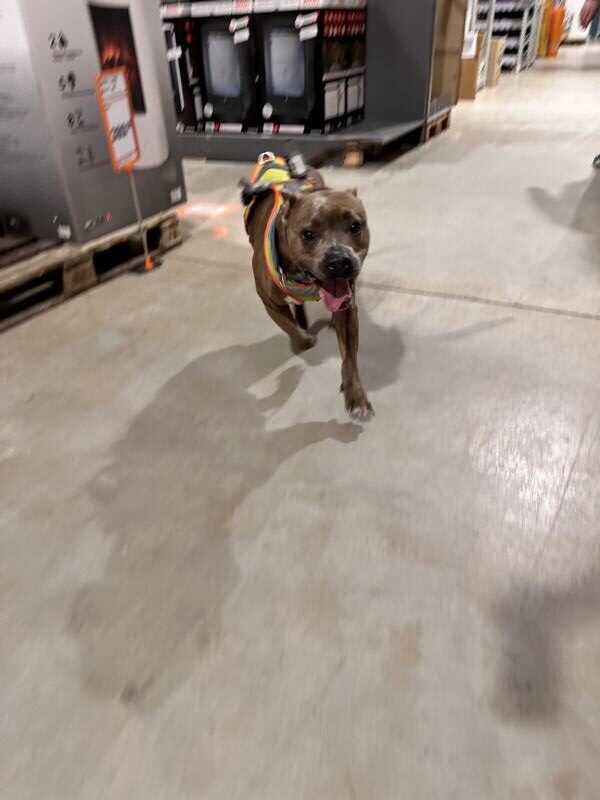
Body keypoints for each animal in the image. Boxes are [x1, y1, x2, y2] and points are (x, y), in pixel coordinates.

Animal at [242, 153, 372, 418]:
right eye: (308, 234)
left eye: (355, 226)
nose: (339, 261)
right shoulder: (270, 302)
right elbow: (296, 334)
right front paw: (305, 338)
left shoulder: (348, 309)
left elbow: (349, 357)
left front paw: (353, 392)